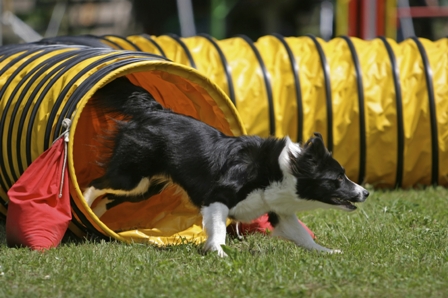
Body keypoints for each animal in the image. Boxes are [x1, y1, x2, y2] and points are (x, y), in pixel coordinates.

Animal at [82, 77, 370, 256]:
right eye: (339, 178)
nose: (366, 192)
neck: (281, 170)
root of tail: (154, 111)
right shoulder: (217, 198)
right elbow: (219, 230)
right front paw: (219, 253)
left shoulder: (280, 212)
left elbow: (303, 236)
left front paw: (328, 252)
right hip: (132, 178)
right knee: (95, 184)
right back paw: (83, 203)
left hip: (144, 188)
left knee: (106, 197)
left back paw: (95, 216)